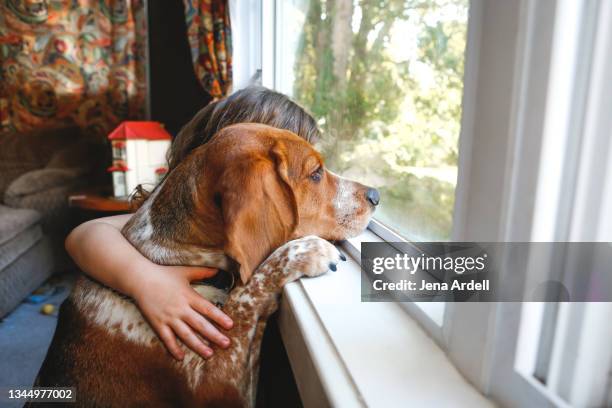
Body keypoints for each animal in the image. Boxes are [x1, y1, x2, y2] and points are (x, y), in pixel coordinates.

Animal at [33, 122, 380, 406]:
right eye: (316, 174)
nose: (376, 195)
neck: (165, 257)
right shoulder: (220, 386)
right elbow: (247, 298)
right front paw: (304, 251)